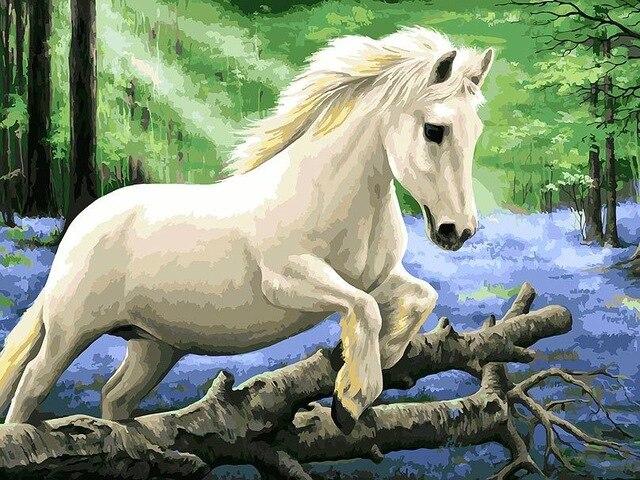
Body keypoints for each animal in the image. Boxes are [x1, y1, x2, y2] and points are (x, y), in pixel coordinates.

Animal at [0, 26, 494, 432]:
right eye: (434, 130)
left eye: (476, 131)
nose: (459, 231)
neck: (331, 193)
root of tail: (81, 224)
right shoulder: (289, 280)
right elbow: (365, 308)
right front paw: (350, 400)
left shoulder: (379, 278)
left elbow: (420, 295)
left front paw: (381, 357)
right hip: (70, 331)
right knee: (31, 384)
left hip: (153, 346)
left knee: (115, 397)